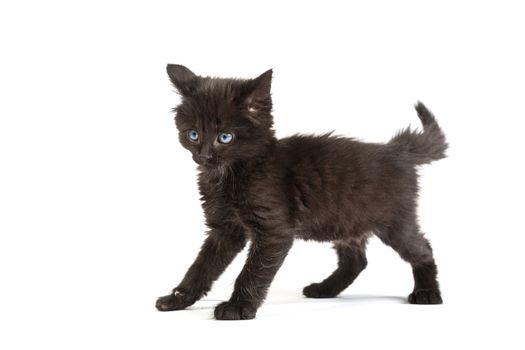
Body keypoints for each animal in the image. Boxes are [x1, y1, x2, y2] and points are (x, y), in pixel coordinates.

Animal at [156, 65, 446, 320]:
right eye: (193, 134)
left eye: (225, 137)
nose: (204, 157)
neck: (230, 176)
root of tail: (397, 150)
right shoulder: (225, 230)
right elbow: (201, 267)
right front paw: (179, 299)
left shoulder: (273, 231)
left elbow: (252, 271)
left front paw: (238, 307)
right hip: (345, 221)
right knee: (356, 260)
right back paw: (324, 289)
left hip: (393, 222)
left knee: (423, 249)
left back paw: (427, 292)